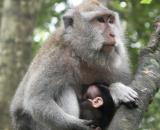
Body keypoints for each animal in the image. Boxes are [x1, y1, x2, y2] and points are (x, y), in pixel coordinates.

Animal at [10, 0, 138, 130]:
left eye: (110, 21)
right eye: (100, 20)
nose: (113, 35)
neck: (81, 53)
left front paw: (117, 89)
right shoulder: (56, 58)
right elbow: (37, 100)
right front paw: (76, 125)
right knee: (63, 89)